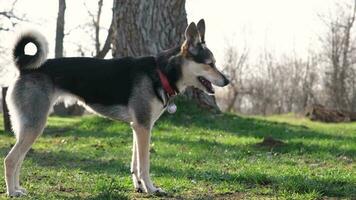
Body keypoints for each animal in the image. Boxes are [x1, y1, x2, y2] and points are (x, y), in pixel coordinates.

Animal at [2, 19, 229, 197]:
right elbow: (144, 165)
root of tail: (24, 68)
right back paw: (12, 192)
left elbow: (135, 164)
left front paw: (140, 187)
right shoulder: (143, 127)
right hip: (35, 125)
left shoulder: (138, 127)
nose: (227, 81)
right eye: (210, 63)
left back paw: (18, 188)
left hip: (28, 126)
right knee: (10, 160)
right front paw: (152, 189)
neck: (161, 72)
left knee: (18, 159)